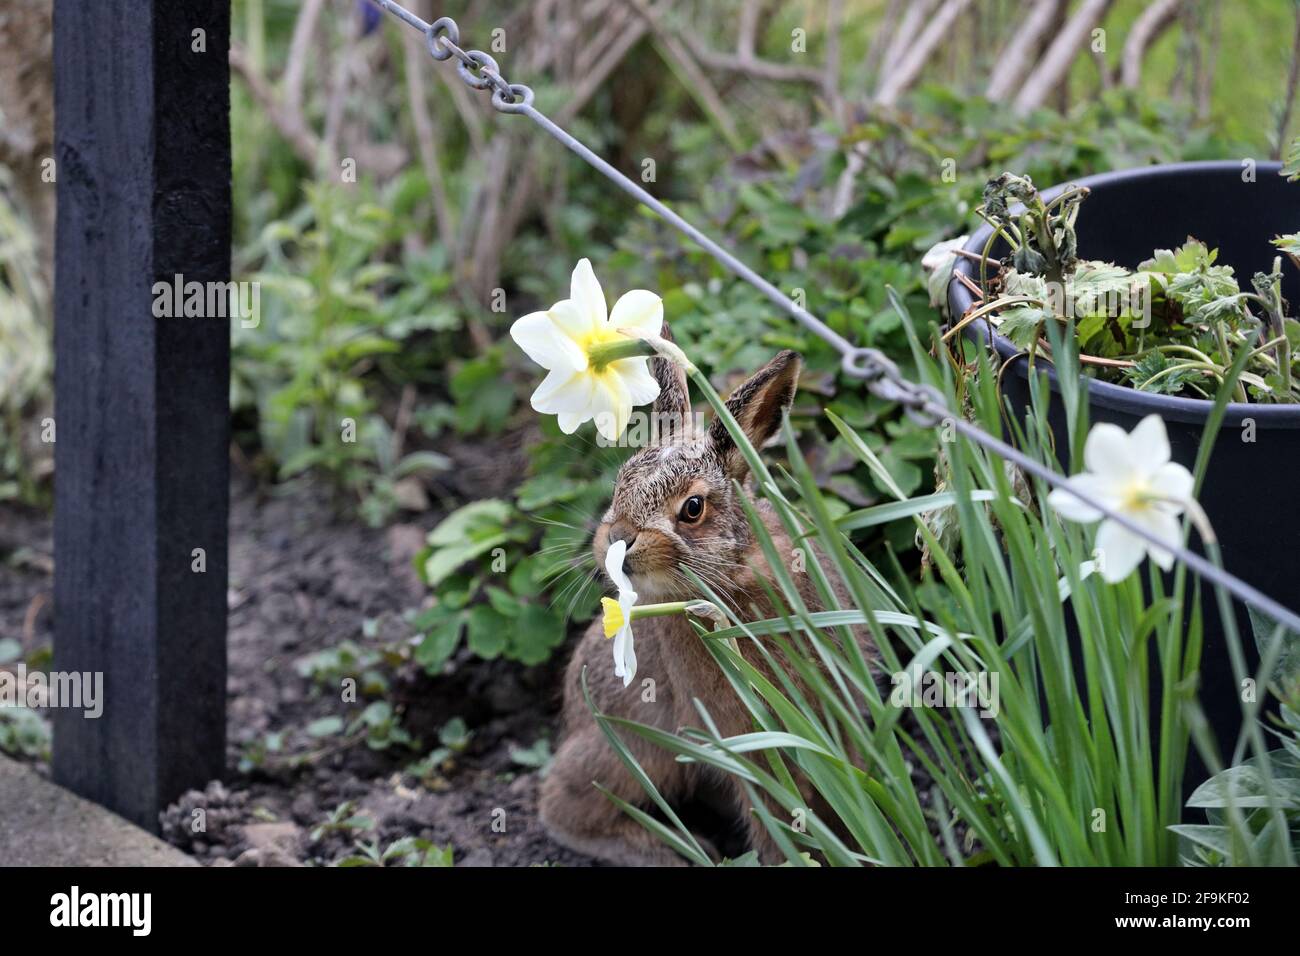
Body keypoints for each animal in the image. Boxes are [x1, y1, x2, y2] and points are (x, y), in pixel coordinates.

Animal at [539, 329, 880, 866]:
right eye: (618, 487)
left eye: (693, 508)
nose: (616, 539)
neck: (734, 572)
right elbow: (772, 808)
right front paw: (788, 857)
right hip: (637, 748)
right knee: (564, 803)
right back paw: (669, 848)